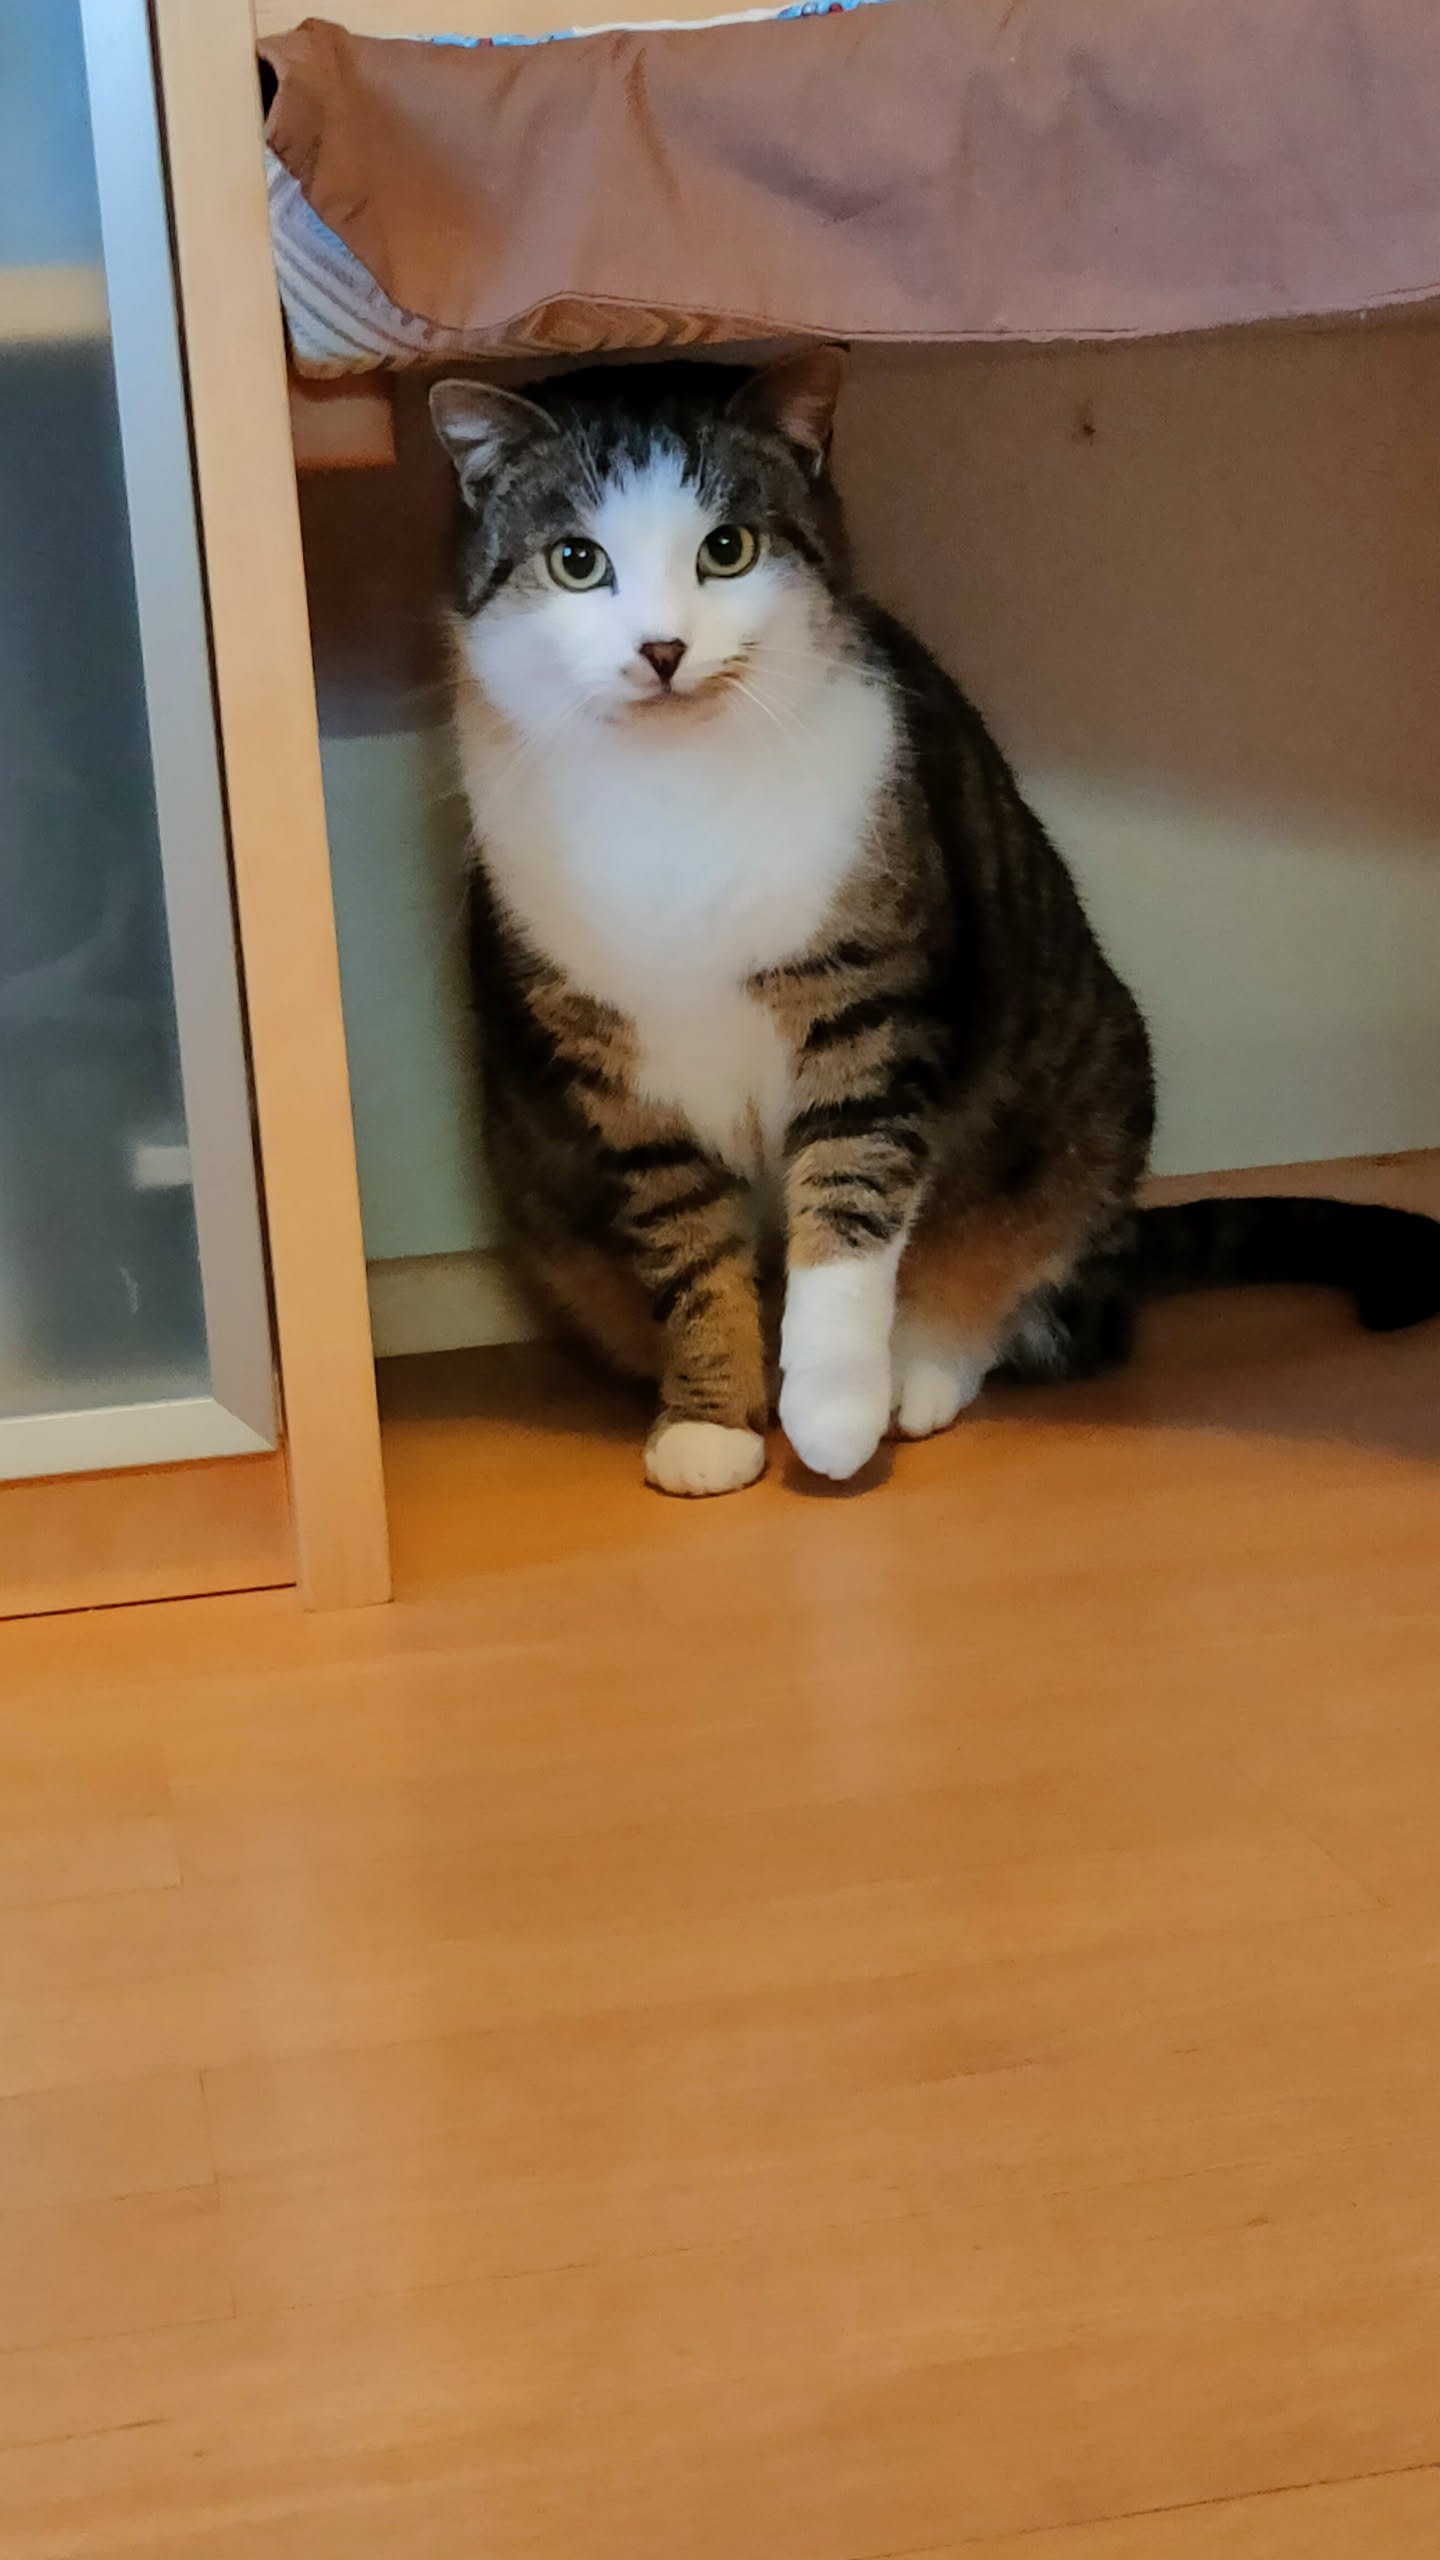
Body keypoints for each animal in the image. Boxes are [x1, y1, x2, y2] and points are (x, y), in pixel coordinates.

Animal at [431, 349, 1440, 1496]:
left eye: (726, 550)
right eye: (576, 561)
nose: (662, 648)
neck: (672, 793)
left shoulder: (866, 1002)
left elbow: (848, 1205)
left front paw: (830, 1410)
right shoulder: (620, 1075)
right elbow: (687, 1254)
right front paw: (709, 1423)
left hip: (1080, 1107)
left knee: (1036, 1300)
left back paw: (916, 1371)